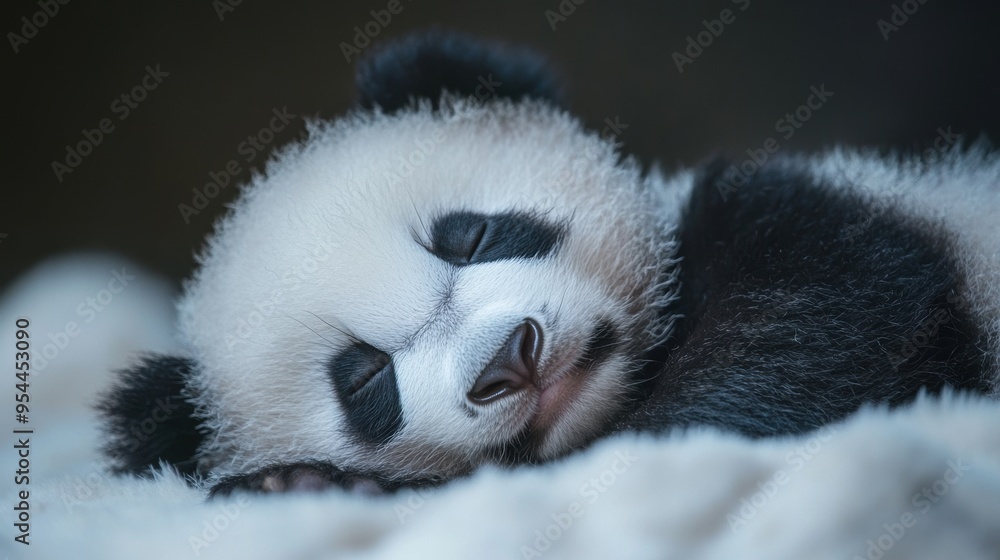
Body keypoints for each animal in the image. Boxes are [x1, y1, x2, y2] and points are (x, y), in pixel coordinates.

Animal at [99, 31, 1000, 497]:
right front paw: (301, 484)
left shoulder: (827, 223)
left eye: (470, 237)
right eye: (366, 380)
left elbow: (815, 323)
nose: (509, 358)